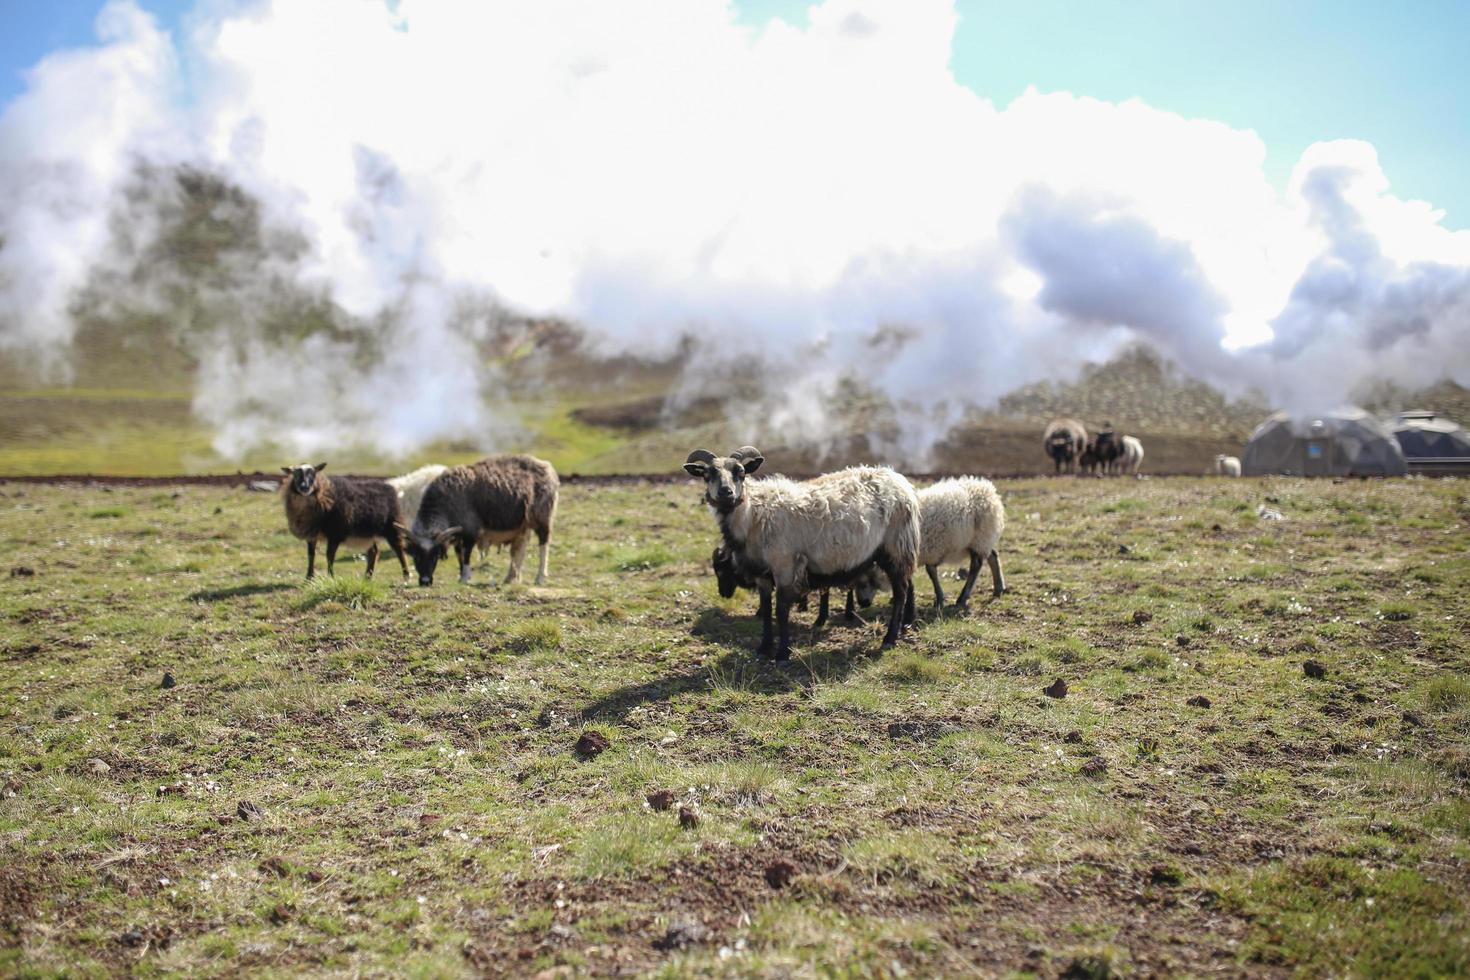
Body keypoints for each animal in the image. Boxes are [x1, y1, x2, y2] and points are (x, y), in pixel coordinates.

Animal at [277, 464, 408, 578]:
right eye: (295, 475)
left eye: (313, 475)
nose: (304, 487)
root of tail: (389, 486)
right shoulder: (312, 535)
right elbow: (311, 555)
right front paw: (309, 577)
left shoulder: (335, 534)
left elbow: (329, 556)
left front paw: (330, 576)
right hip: (368, 532)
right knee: (373, 552)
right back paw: (367, 578)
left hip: (392, 526)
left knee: (399, 550)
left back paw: (406, 575)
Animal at [408, 455, 555, 587]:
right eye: (415, 556)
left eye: (435, 556)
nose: (425, 582)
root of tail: (547, 467)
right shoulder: (458, 533)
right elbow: (459, 554)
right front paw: (461, 575)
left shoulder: (471, 529)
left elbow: (466, 553)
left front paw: (465, 578)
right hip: (522, 526)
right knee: (519, 550)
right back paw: (510, 578)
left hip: (542, 517)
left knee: (544, 544)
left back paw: (540, 578)